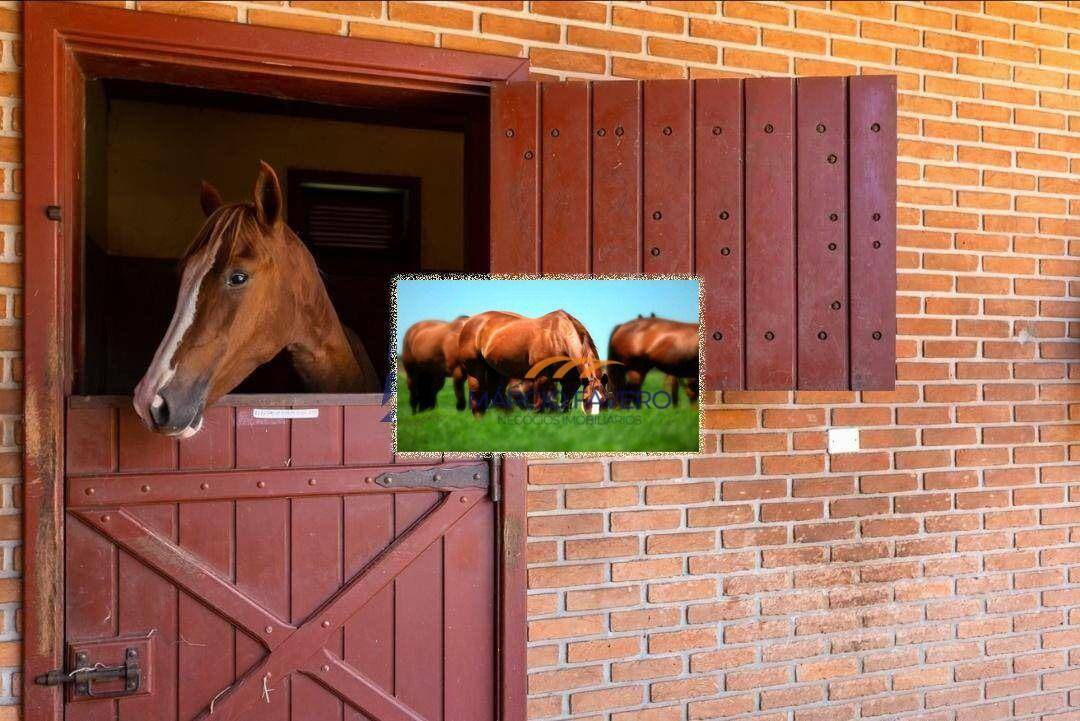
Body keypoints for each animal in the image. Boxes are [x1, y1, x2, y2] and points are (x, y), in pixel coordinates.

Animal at [455, 310, 609, 416]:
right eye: (587, 400)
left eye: (604, 401)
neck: (558, 337)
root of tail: (470, 322)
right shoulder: (542, 378)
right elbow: (539, 407)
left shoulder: (571, 383)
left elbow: (565, 407)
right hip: (475, 370)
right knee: (477, 399)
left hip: (496, 372)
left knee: (495, 396)